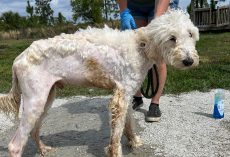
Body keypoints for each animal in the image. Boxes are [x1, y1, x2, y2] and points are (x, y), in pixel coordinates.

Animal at [0, 10, 199, 157]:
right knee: (15, 145)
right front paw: (116, 151)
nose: (189, 61)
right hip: (35, 102)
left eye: (190, 34)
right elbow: (116, 137)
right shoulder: (120, 99)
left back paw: (43, 149)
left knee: (33, 131)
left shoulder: (126, 95)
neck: (141, 45)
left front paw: (134, 142)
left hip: (46, 99)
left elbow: (129, 125)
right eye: (172, 38)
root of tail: (20, 57)